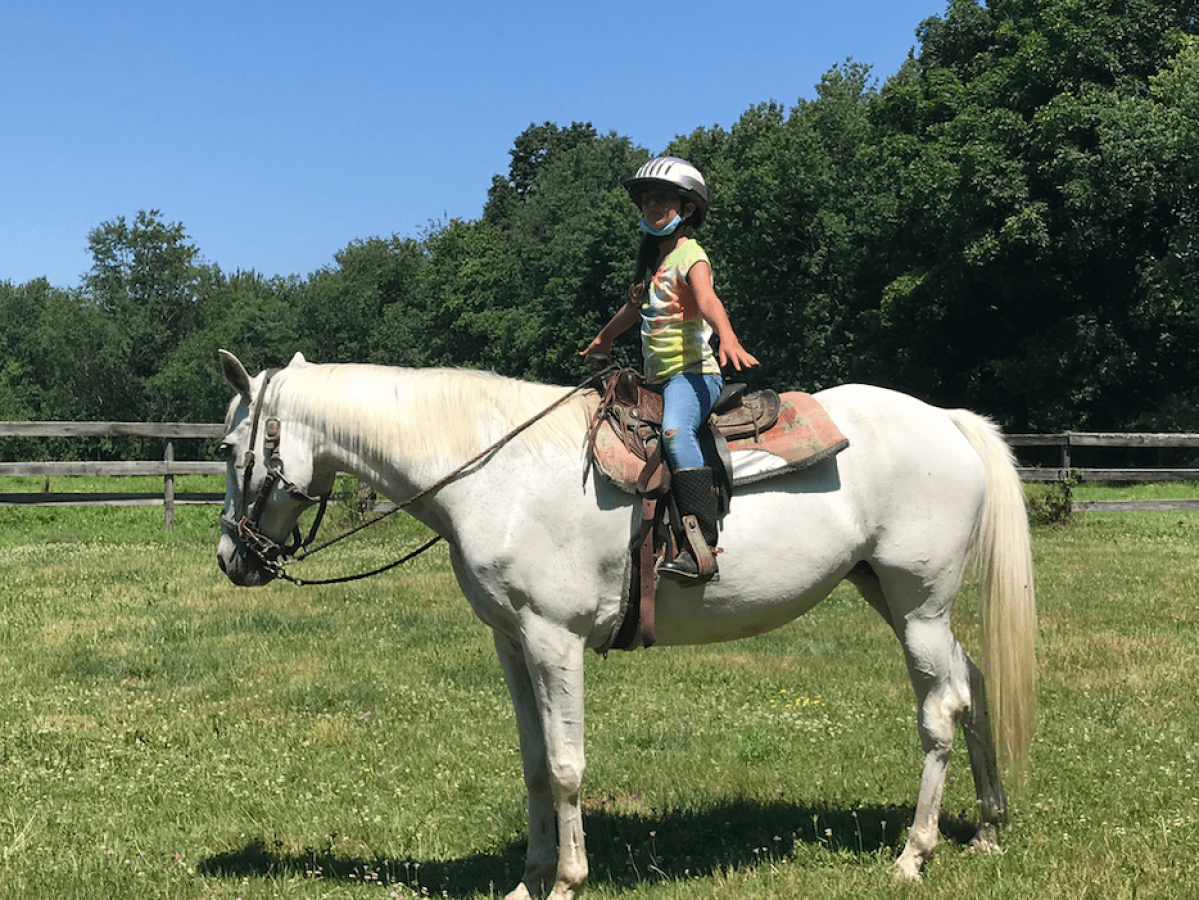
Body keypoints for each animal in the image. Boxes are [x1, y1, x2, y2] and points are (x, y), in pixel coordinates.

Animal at [215, 350, 1036, 897]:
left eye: (228, 448)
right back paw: (989, 830)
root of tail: (946, 421)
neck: (493, 473)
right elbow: (534, 763)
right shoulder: (511, 642)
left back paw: (914, 853)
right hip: (892, 596)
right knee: (974, 686)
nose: (232, 557)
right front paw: (528, 879)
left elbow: (567, 766)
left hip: (917, 601)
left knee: (942, 709)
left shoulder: (554, 639)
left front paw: (568, 880)